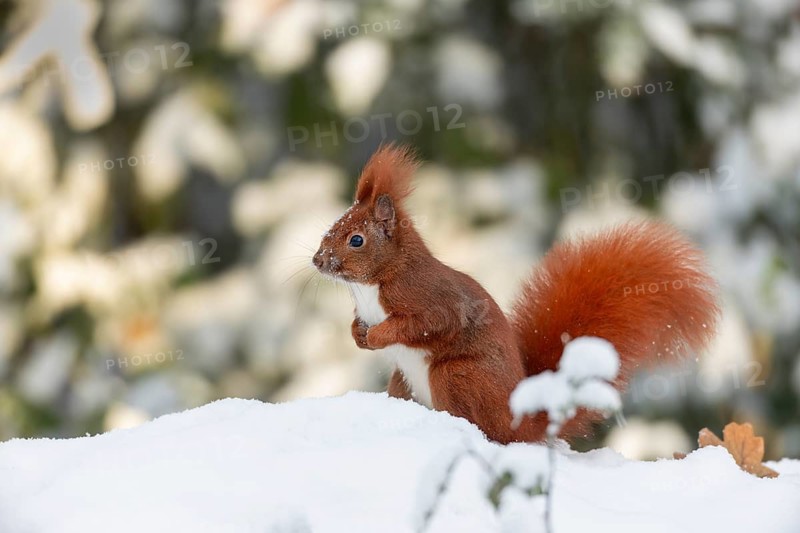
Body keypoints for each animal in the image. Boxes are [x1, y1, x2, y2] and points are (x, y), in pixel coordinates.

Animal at [312, 144, 719, 444]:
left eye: (356, 240)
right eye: (332, 226)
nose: (317, 260)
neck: (373, 283)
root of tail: (521, 421)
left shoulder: (429, 298)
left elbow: (427, 323)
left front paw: (378, 335)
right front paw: (358, 334)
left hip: (456, 376)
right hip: (404, 380)